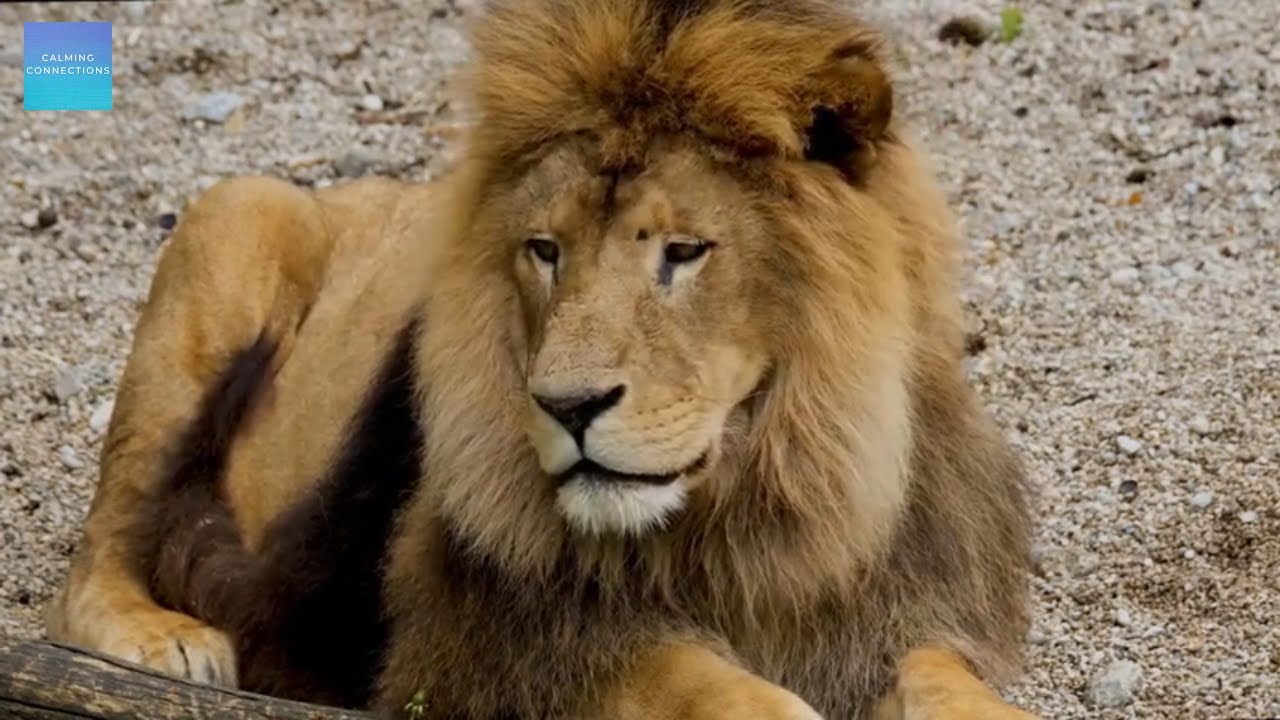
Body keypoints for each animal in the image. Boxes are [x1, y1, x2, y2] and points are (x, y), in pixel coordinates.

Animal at [44, 1, 1042, 718]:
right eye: (545, 250)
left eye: (683, 252)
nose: (567, 407)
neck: (755, 499)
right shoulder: (480, 647)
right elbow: (692, 678)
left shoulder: (896, 609)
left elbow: (945, 679)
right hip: (236, 215)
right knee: (97, 553)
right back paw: (164, 640)